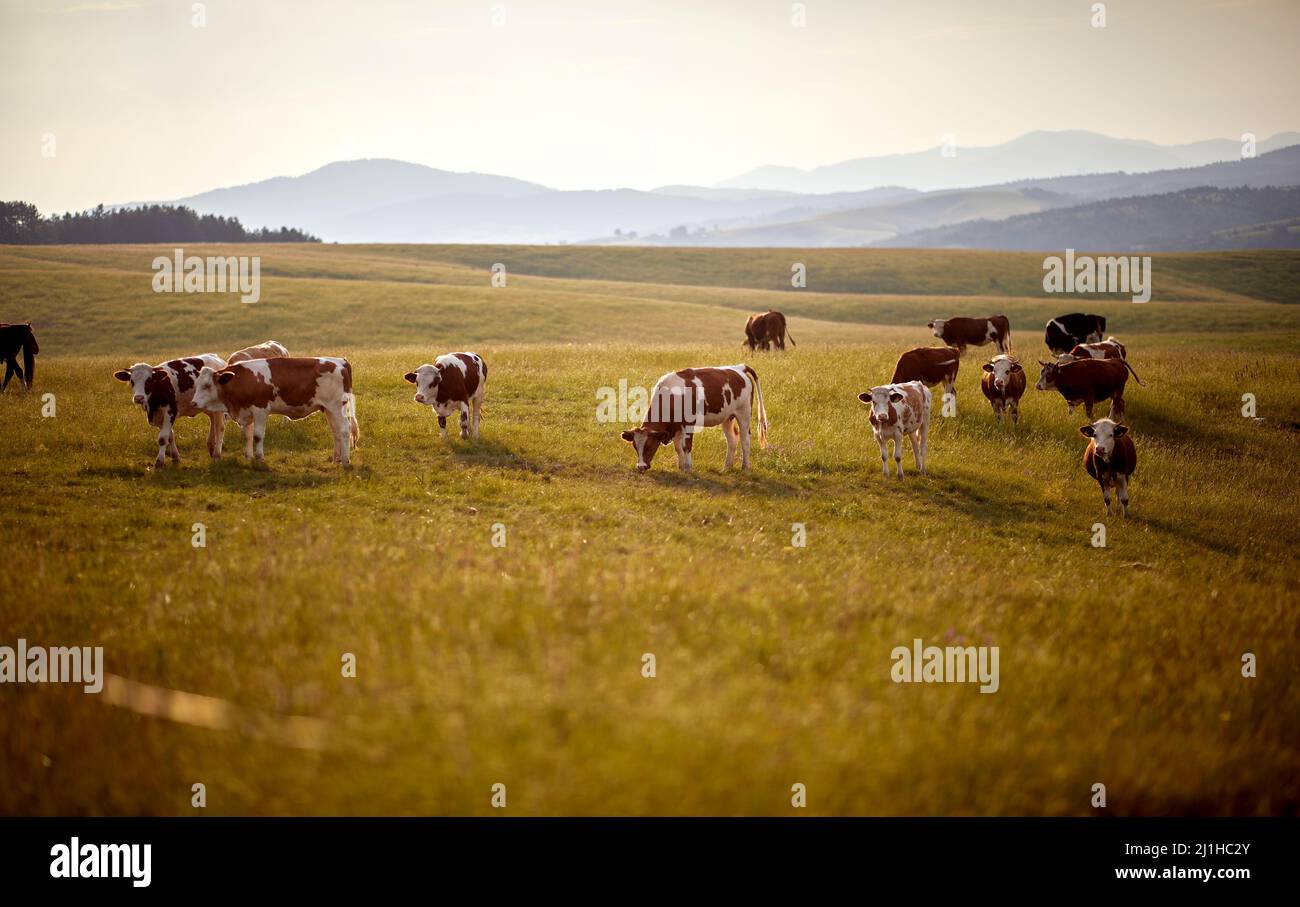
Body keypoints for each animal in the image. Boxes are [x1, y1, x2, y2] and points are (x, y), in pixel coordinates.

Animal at [190, 357, 358, 466]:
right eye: (197, 385)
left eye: (207, 386)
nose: (193, 403)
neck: (242, 379)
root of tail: (341, 361)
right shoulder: (247, 412)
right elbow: (247, 436)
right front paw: (249, 457)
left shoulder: (260, 410)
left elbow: (257, 436)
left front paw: (259, 458)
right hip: (329, 409)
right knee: (336, 432)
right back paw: (336, 459)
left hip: (337, 407)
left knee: (344, 430)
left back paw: (345, 461)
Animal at [620, 364, 768, 472]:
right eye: (635, 446)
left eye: (649, 446)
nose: (641, 467)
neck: (671, 396)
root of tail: (740, 367)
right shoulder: (676, 426)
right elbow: (678, 447)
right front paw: (681, 467)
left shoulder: (688, 423)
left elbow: (686, 446)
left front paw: (688, 469)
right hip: (727, 418)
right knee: (732, 439)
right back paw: (726, 468)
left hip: (744, 414)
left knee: (745, 439)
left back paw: (745, 467)